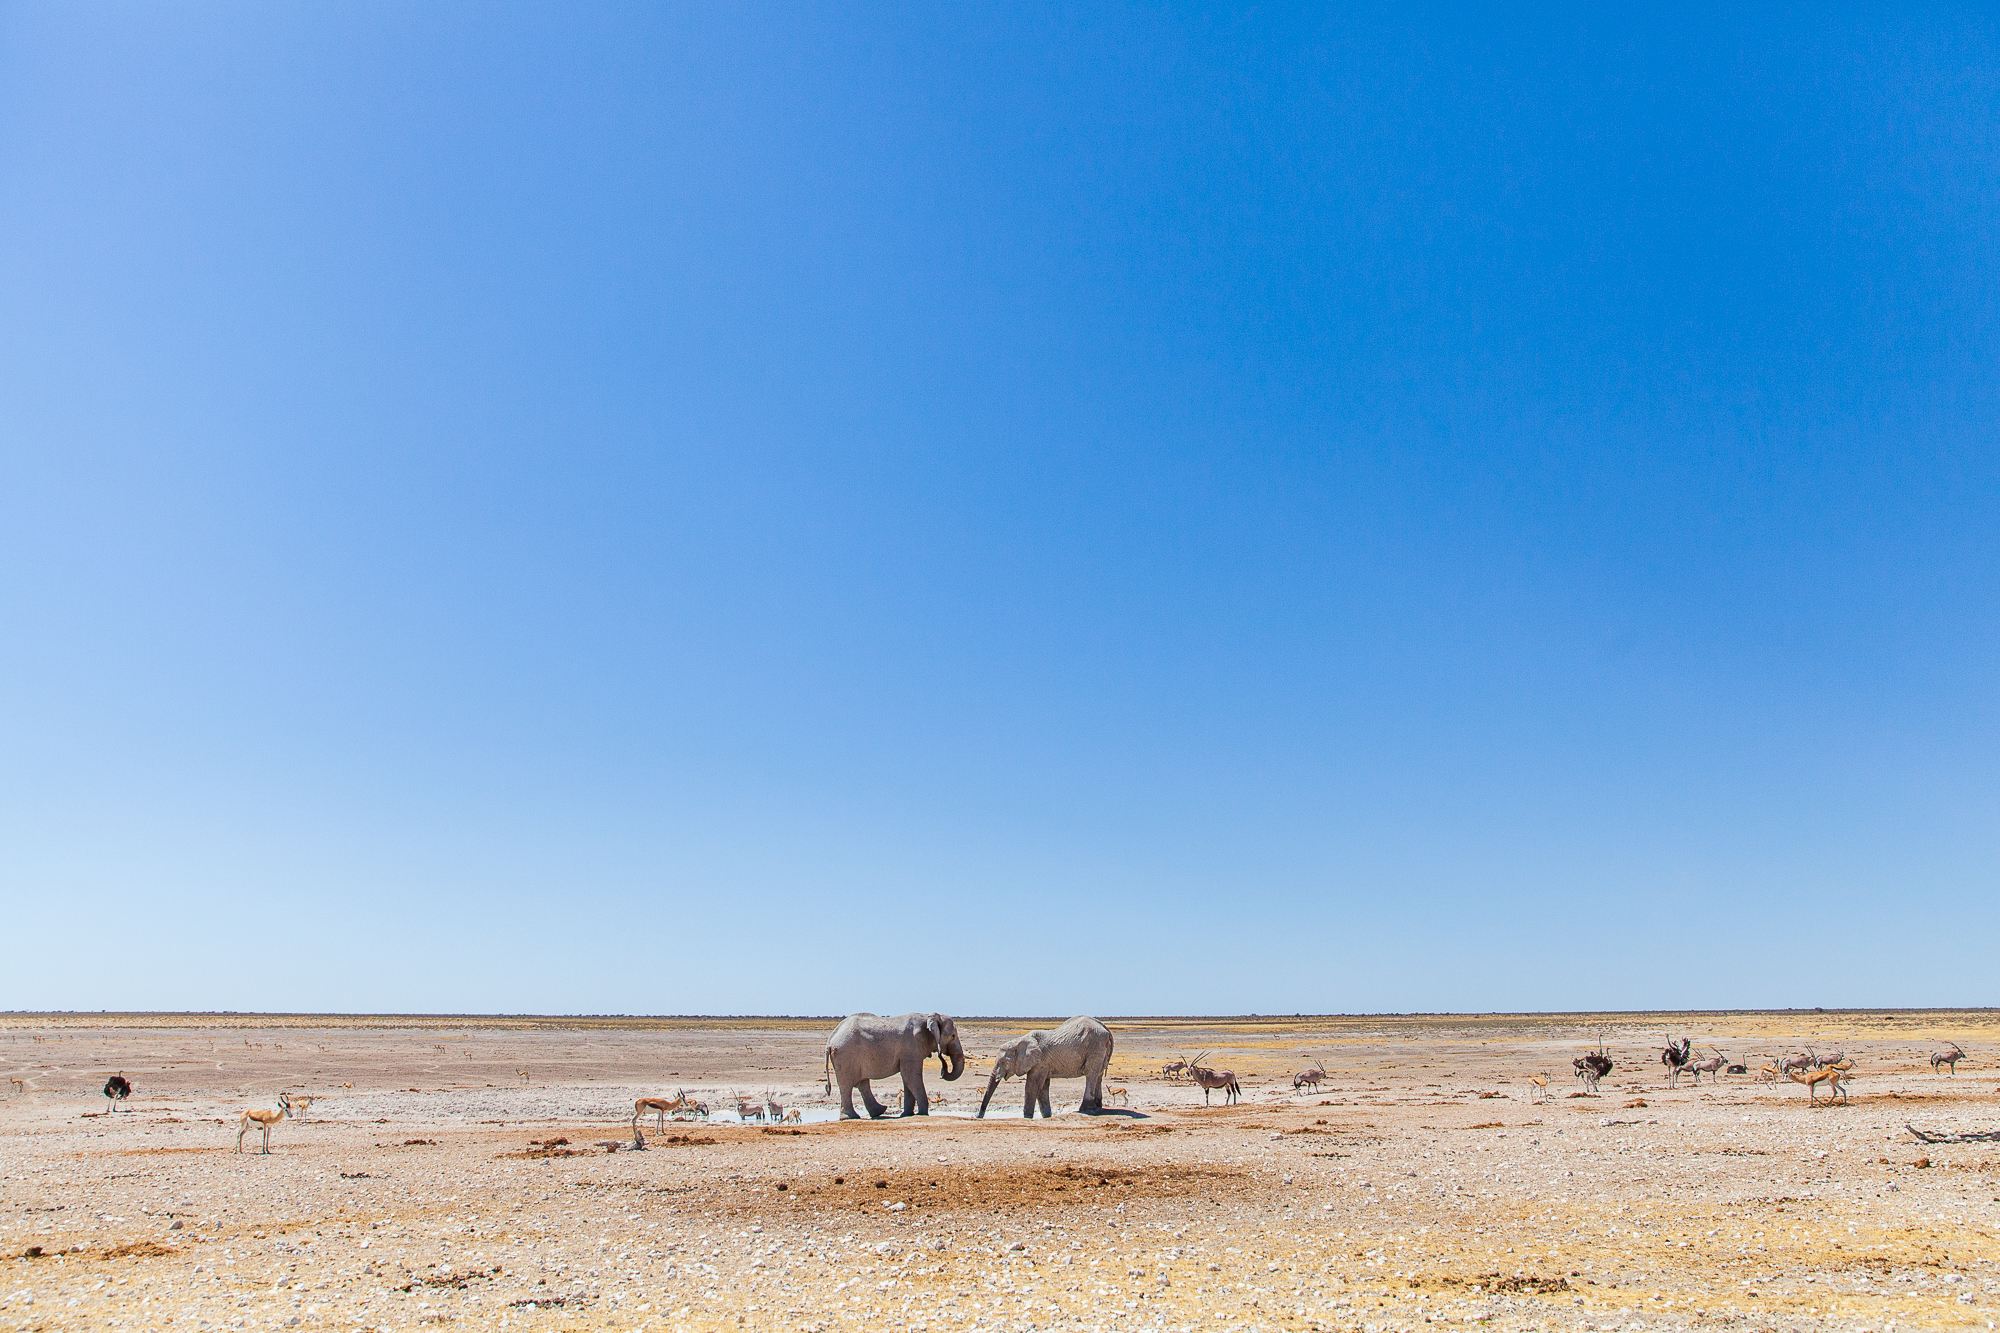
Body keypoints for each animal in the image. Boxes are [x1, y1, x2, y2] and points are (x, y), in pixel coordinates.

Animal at [816, 1012, 964, 1112]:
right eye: (953, 1036)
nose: (942, 1072)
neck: (928, 1016)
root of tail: (830, 1040)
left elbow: (907, 1079)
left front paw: (907, 1115)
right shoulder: (911, 1047)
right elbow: (911, 1077)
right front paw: (922, 1114)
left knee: (862, 1083)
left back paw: (879, 1112)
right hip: (846, 1054)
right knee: (847, 1086)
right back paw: (853, 1116)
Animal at [976, 1012, 1120, 1112]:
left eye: (1003, 1062)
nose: (979, 1116)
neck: (1021, 1041)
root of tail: (1107, 1030)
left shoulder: (1040, 1061)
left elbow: (1032, 1086)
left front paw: (1027, 1116)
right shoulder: (1044, 1064)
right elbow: (1042, 1088)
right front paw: (1046, 1115)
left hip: (1095, 1046)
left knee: (1091, 1074)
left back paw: (1085, 1109)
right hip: (1101, 1049)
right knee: (1099, 1074)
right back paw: (1097, 1107)